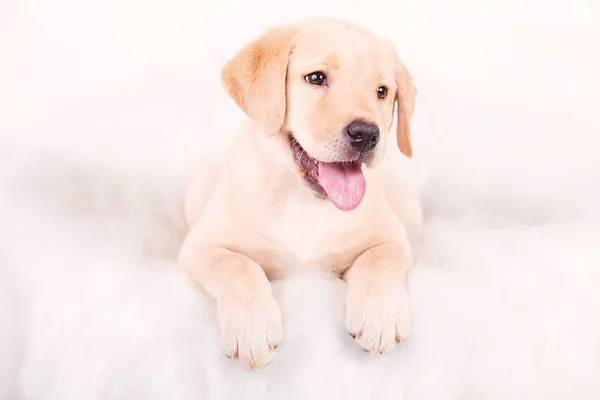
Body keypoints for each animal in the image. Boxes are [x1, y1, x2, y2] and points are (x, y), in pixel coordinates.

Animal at [178, 17, 422, 370]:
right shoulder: (201, 246)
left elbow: (378, 259)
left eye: (382, 92)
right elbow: (239, 266)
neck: (303, 201)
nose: (367, 134)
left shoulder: (392, 239)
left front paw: (380, 316)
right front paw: (251, 327)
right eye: (316, 78)